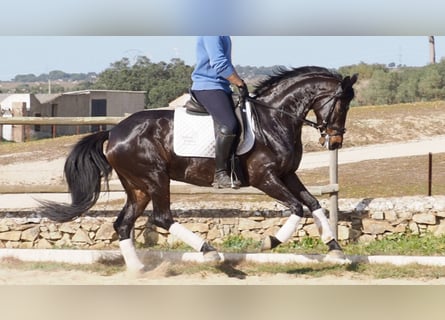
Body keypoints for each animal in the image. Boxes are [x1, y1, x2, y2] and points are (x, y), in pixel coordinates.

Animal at [39, 66, 358, 272]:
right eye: (341, 104)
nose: (335, 141)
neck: (274, 120)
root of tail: (114, 132)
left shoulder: (287, 174)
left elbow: (313, 203)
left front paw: (335, 249)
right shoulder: (265, 177)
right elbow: (297, 207)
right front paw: (270, 241)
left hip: (138, 186)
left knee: (124, 224)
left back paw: (138, 268)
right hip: (155, 178)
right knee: (162, 217)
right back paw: (209, 252)